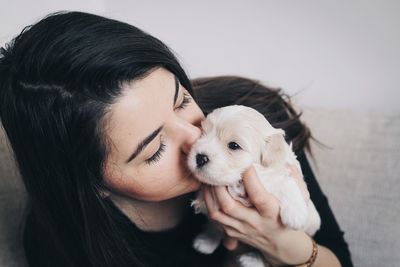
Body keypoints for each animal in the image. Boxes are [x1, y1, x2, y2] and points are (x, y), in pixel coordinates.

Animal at [188, 104, 322, 267]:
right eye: (203, 133)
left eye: (233, 146)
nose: (200, 158)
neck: (238, 183)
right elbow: (214, 223)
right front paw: (207, 239)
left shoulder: (278, 174)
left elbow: (286, 183)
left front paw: (295, 215)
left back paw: (251, 260)